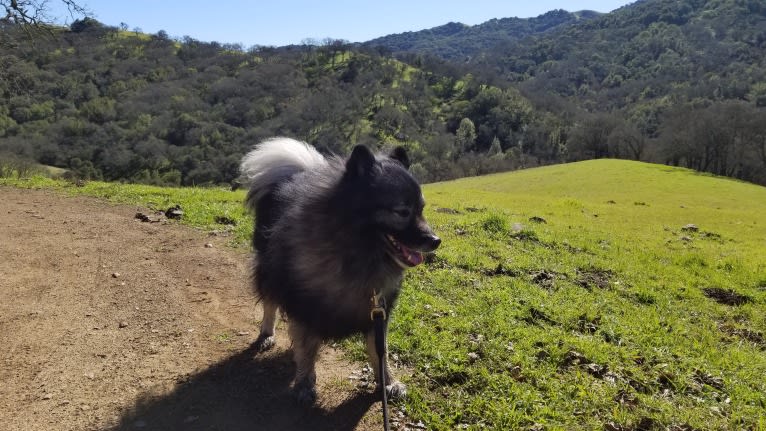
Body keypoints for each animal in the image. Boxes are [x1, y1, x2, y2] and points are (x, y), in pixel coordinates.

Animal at [240, 138, 444, 404]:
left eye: (421, 209)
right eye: (402, 212)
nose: (435, 241)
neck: (355, 252)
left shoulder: (378, 313)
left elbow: (380, 353)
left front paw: (388, 383)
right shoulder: (304, 305)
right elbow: (306, 347)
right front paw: (304, 383)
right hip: (270, 272)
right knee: (269, 304)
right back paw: (266, 334)